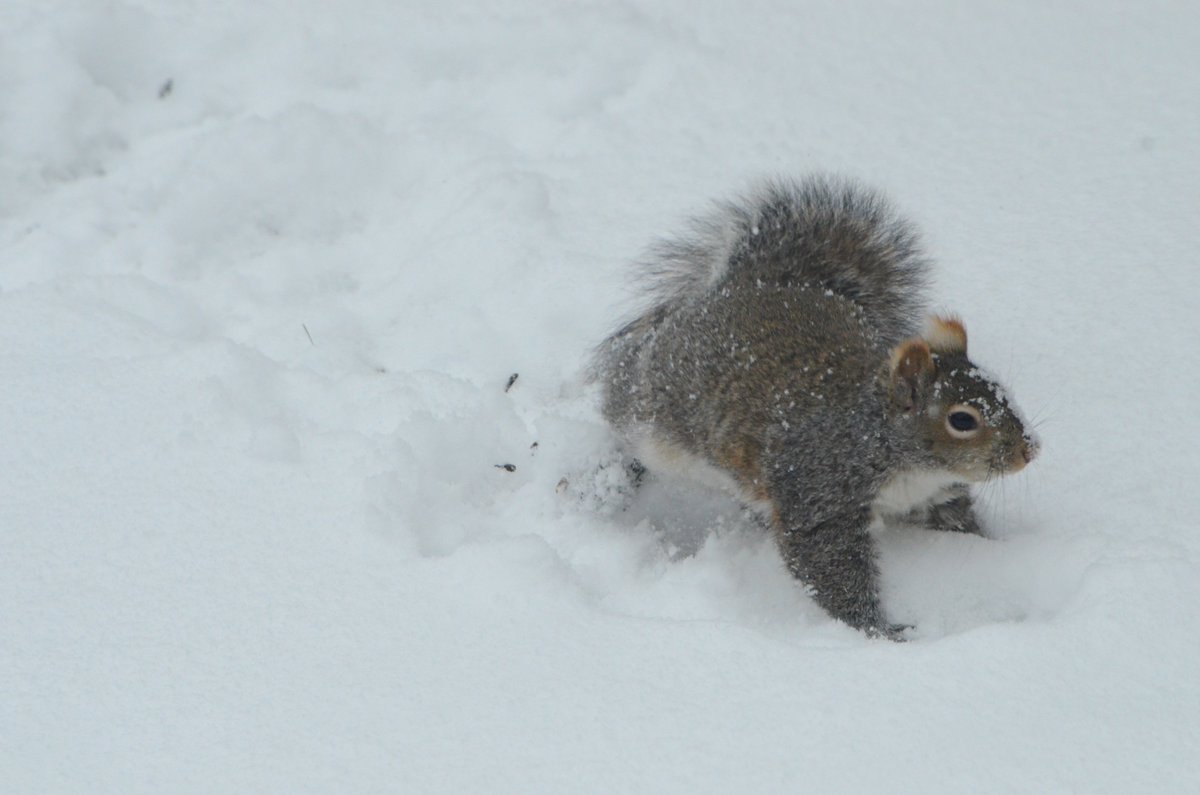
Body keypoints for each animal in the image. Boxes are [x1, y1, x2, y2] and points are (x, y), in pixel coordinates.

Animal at [595, 176, 1036, 643]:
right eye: (962, 420)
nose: (1029, 450)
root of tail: (747, 285)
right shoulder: (820, 486)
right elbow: (828, 563)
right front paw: (881, 630)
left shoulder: (933, 495)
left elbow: (956, 521)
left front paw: (988, 549)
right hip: (651, 414)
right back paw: (606, 478)